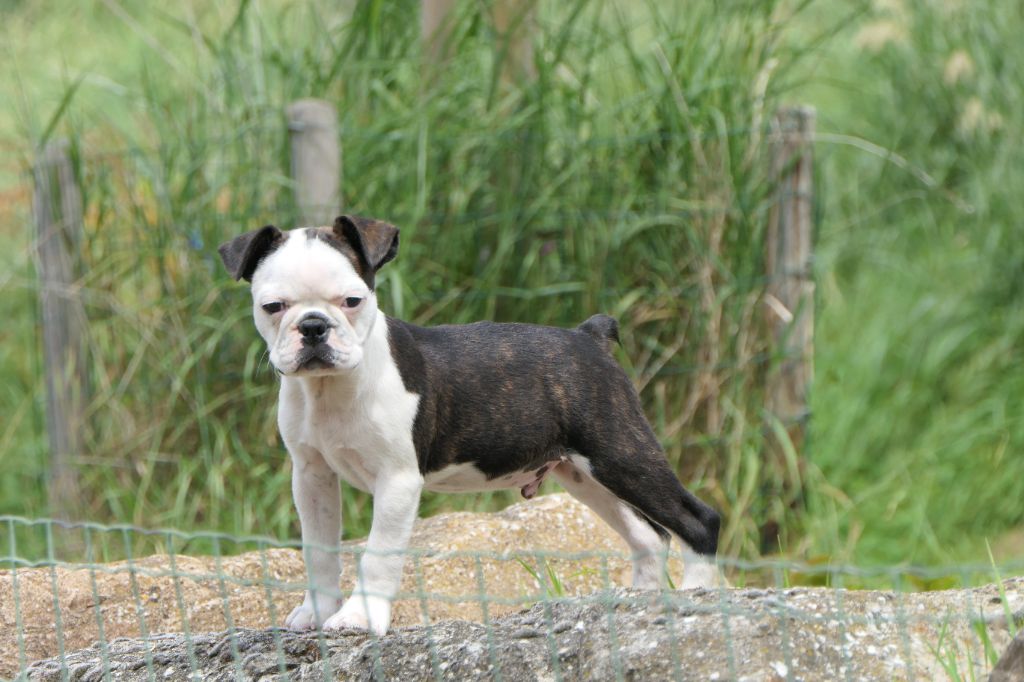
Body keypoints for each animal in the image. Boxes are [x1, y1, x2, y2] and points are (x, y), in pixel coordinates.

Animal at [218, 215, 721, 635]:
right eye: (273, 306)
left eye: (352, 301)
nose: (313, 326)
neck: (331, 389)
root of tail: (588, 336)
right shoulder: (312, 476)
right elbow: (318, 550)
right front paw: (318, 613)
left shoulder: (397, 481)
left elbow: (378, 554)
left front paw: (359, 618)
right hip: (583, 473)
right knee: (648, 534)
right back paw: (639, 598)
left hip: (619, 450)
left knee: (697, 519)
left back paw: (696, 592)